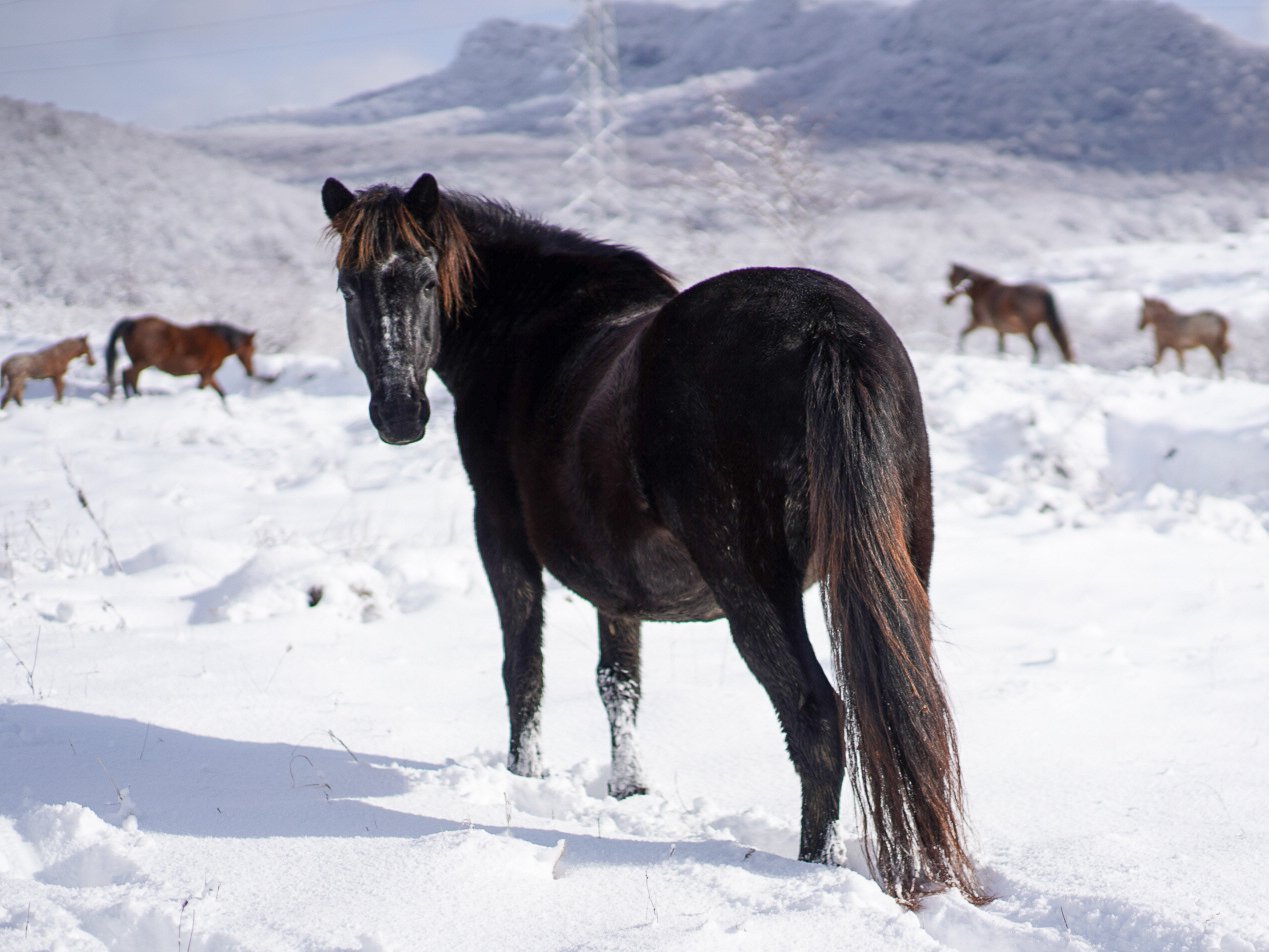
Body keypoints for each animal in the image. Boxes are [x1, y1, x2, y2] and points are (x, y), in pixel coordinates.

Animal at [104, 315, 256, 400]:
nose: (251, 372)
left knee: (132, 376)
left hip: (139, 361)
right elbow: (202, 389)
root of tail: (133, 323)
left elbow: (221, 393)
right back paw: (131, 397)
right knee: (128, 374)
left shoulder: (206, 373)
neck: (220, 341)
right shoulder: (208, 372)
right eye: (252, 350)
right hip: (145, 361)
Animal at [320, 172, 988, 908]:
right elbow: (619, 681)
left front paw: (524, 776)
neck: (529, 333)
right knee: (908, 704)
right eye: (348, 288)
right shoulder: (617, 585)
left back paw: (815, 866)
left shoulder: (499, 533)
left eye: (424, 281)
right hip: (905, 559)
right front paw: (628, 789)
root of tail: (824, 325)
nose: (398, 415)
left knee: (815, 716)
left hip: (753, 588)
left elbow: (524, 667)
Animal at [944, 263, 1075, 363]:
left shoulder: (979, 323)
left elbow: (962, 333)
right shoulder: (1000, 330)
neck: (983, 291)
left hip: (1029, 329)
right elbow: (1001, 347)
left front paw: (960, 351)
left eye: (950, 278)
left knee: (1036, 347)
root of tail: (1044, 292)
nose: (946, 300)